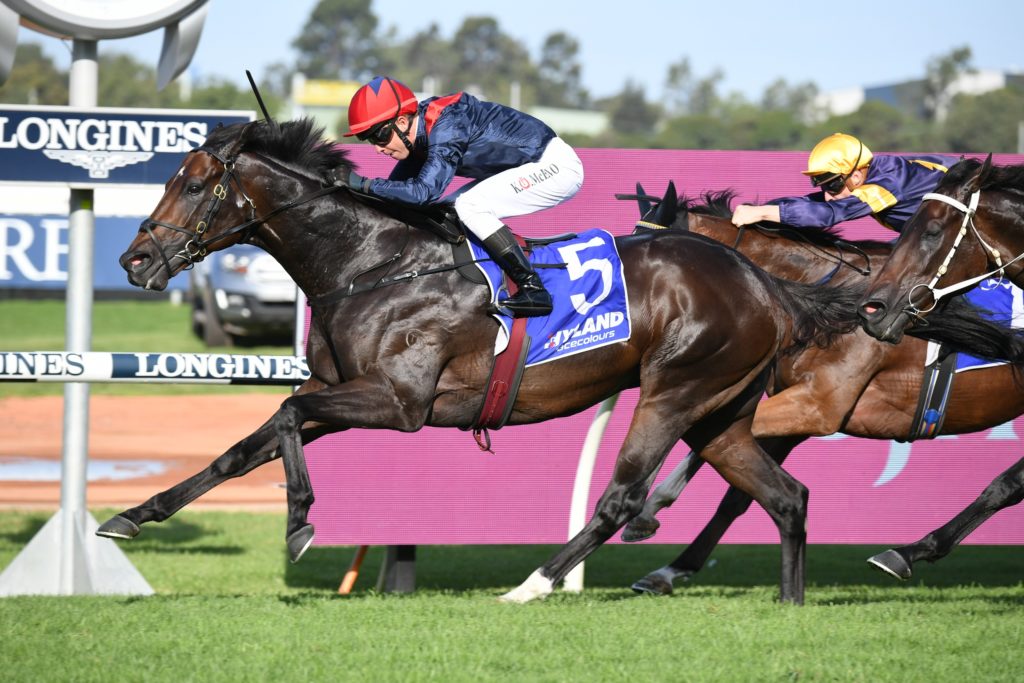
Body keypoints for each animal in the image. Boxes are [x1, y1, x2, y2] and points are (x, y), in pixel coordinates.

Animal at [97, 118, 863, 605]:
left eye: (194, 186)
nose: (133, 260)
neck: (372, 264)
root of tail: (760, 279)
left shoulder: (398, 403)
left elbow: (285, 413)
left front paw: (300, 524)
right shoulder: (340, 389)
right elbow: (242, 448)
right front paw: (130, 516)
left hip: (673, 392)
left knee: (622, 498)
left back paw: (531, 586)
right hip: (718, 411)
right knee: (786, 497)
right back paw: (788, 604)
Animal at [620, 186, 1024, 592]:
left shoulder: (816, 406)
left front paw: (645, 511)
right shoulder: (796, 408)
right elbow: (735, 494)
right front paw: (670, 568)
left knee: (1009, 483)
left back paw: (906, 552)